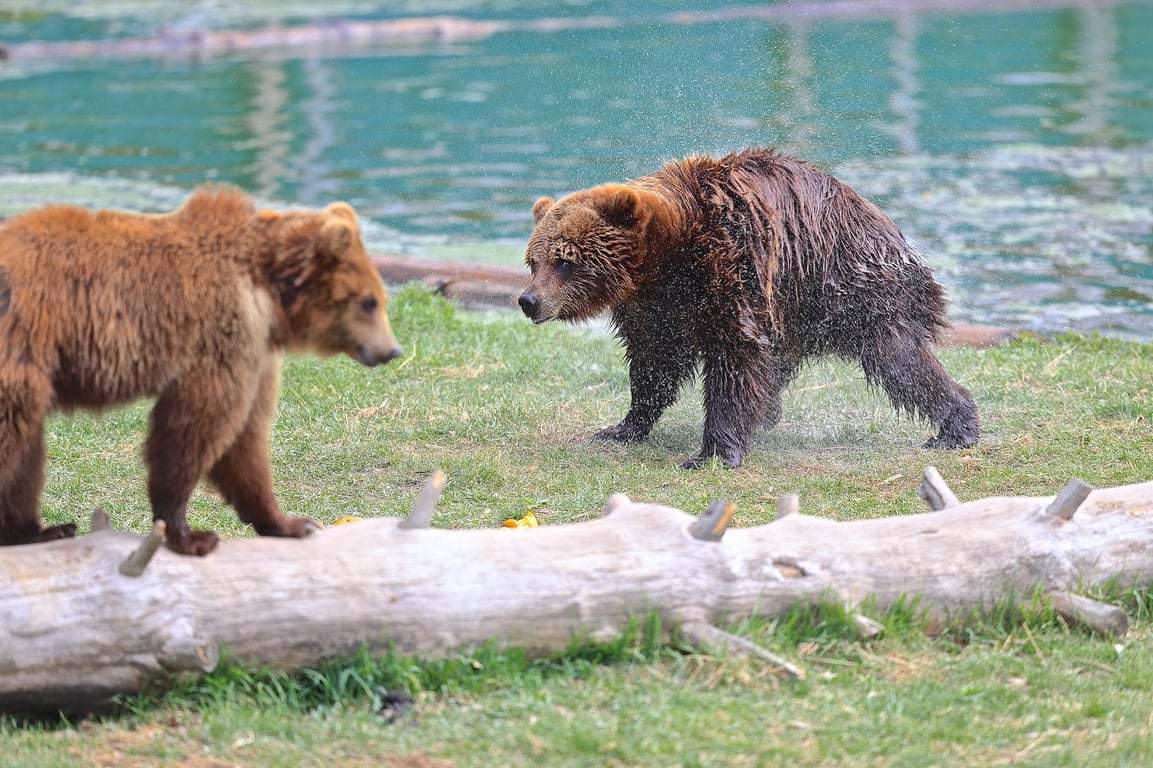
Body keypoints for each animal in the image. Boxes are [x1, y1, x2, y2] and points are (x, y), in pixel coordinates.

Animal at [0, 187, 405, 553]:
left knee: (27, 448)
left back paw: (37, 530)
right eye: (370, 301)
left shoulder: (256, 351)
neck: (266, 289)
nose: (391, 350)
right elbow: (198, 424)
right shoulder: (220, 334)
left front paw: (290, 522)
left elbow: (247, 437)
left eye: (380, 297)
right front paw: (189, 534)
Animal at [518, 145, 977, 465]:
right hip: (800, 311)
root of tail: (896, 235)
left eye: (565, 260)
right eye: (534, 261)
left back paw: (956, 427)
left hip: (853, 289)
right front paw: (622, 427)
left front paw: (712, 452)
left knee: (900, 362)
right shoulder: (653, 307)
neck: (666, 258)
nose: (528, 300)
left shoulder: (729, 267)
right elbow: (654, 364)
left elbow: (735, 359)